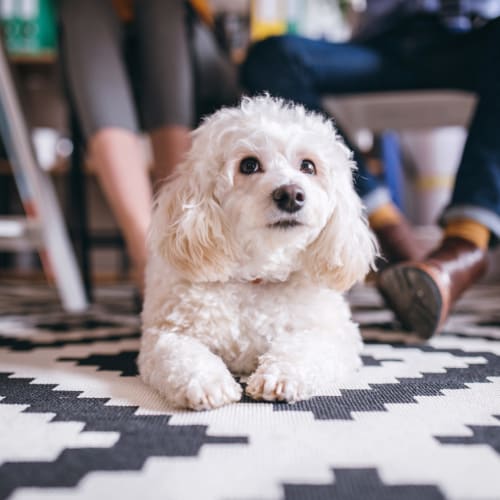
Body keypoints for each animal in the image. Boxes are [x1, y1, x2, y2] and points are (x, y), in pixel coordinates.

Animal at [139, 94, 376, 410]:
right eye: (249, 165)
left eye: (308, 166)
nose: (291, 194)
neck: (259, 275)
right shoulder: (165, 335)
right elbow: (182, 356)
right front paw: (206, 383)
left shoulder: (335, 335)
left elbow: (305, 348)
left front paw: (281, 376)